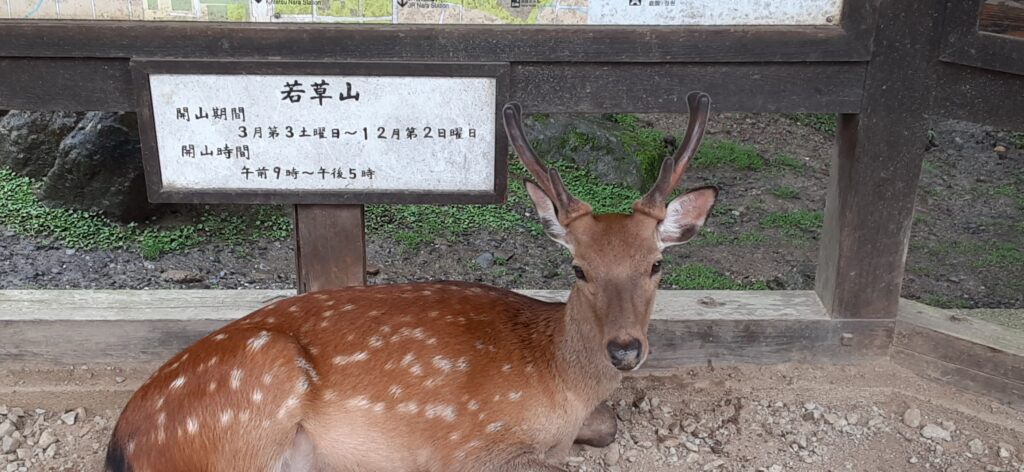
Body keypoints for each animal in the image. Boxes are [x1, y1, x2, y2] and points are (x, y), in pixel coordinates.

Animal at [101, 92, 712, 470]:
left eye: (656, 264)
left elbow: (607, 425)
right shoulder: (468, 445)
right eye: (579, 268)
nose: (625, 349)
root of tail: (122, 442)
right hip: (256, 390)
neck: (557, 386)